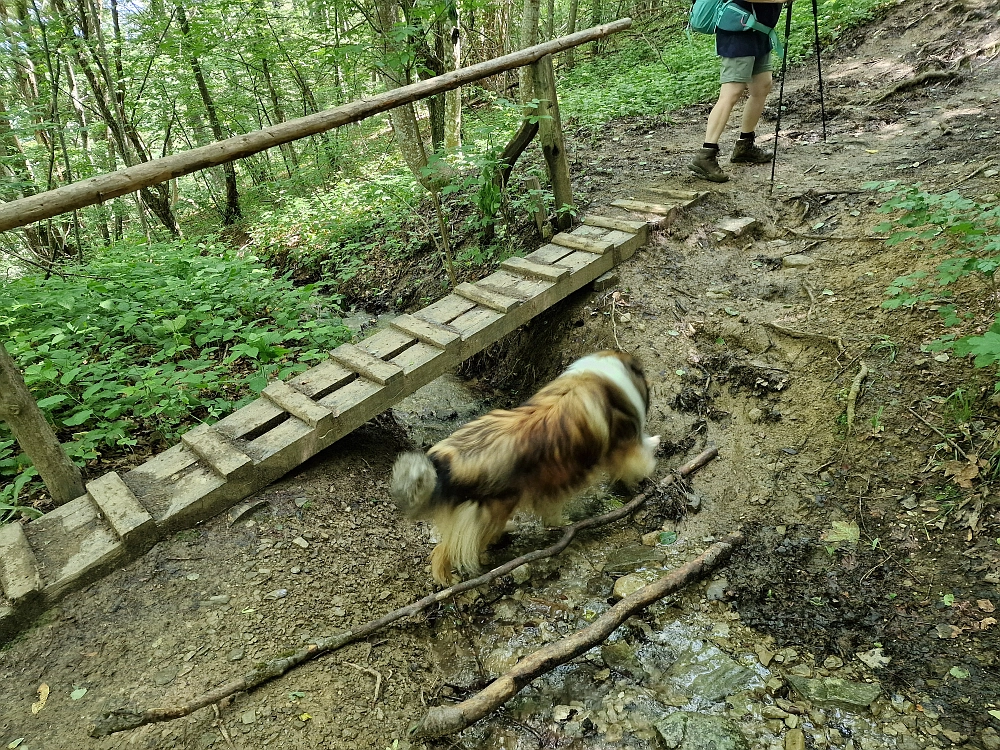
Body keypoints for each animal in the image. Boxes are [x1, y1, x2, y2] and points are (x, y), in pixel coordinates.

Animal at [392, 352, 664, 588]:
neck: (605, 376)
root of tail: (444, 461)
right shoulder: (622, 445)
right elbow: (639, 456)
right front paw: (652, 452)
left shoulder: (551, 480)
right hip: (492, 509)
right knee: (445, 550)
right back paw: (448, 579)